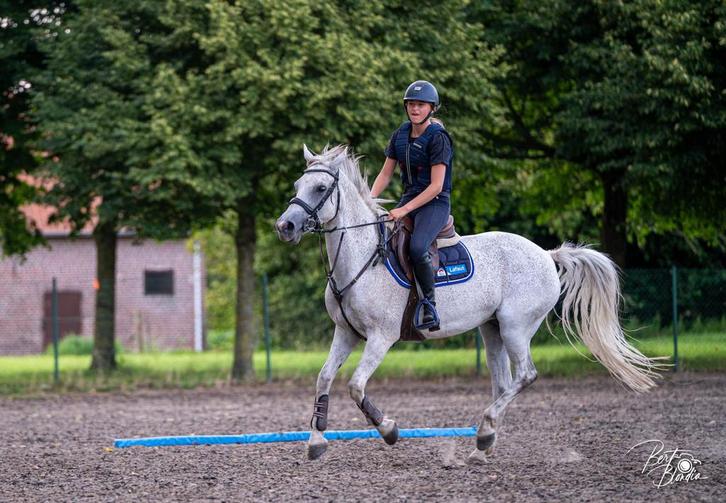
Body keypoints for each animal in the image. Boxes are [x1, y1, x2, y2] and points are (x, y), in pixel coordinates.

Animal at [275, 144, 661, 463]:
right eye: (297, 185)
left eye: (320, 189)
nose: (285, 226)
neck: (362, 258)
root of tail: (546, 254)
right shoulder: (346, 332)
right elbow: (324, 378)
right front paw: (316, 441)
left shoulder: (381, 338)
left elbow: (355, 385)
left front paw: (389, 430)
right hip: (492, 330)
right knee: (504, 384)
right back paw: (482, 447)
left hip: (516, 327)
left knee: (526, 375)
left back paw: (485, 431)